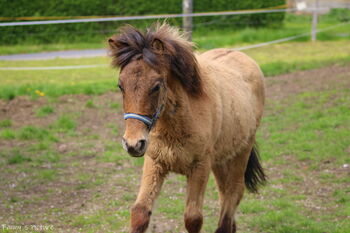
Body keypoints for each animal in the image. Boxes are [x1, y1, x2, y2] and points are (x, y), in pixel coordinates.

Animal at [108, 22, 266, 233]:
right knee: (225, 193)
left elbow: (193, 218)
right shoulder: (154, 162)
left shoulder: (200, 166)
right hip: (221, 158)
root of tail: (240, 55)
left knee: (234, 192)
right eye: (120, 86)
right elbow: (139, 213)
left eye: (156, 86)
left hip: (242, 150)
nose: (133, 144)